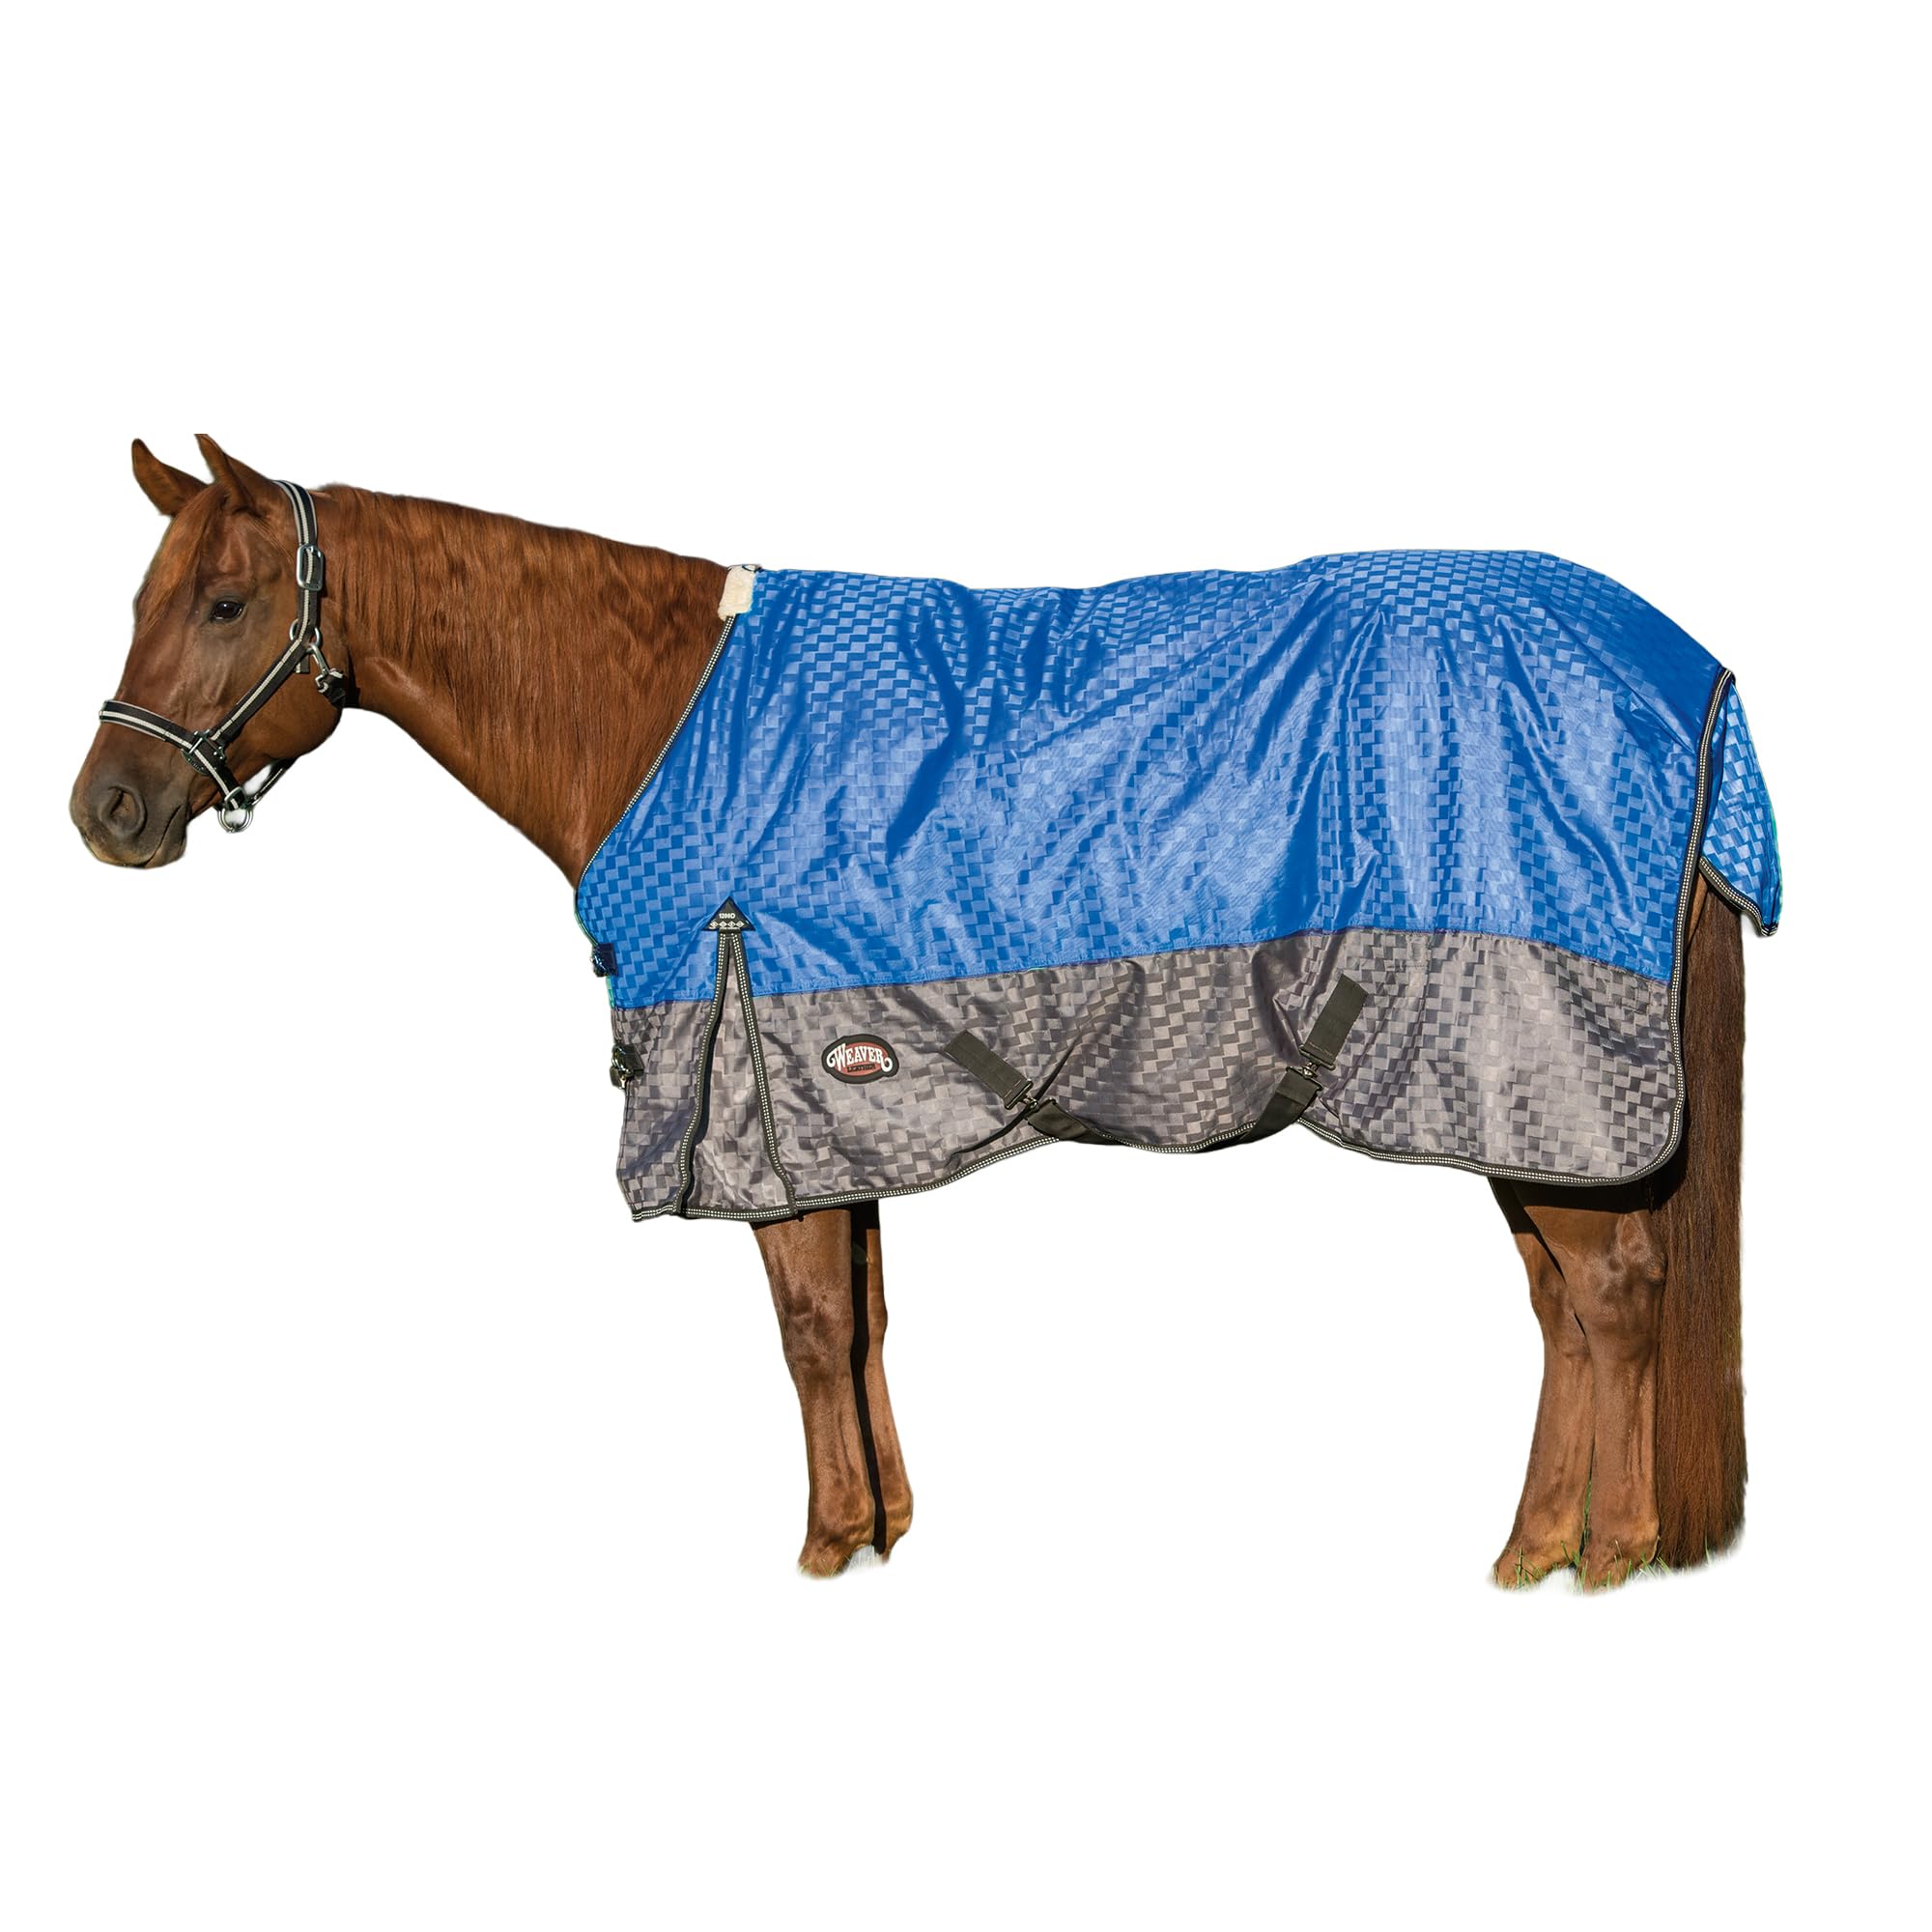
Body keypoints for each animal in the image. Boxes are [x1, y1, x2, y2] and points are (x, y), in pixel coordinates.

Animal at [71, 436, 1752, 1588]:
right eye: (147, 595)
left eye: (224, 601)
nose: (107, 811)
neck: (664, 719)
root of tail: (1691, 678)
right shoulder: (829, 1104)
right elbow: (863, 1321)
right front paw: (883, 1526)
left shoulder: (756, 1099)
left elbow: (811, 1330)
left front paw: (826, 1549)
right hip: (1502, 1103)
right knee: (1565, 1310)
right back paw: (1533, 1553)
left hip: (1529, 1071)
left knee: (1616, 1300)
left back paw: (1603, 1557)